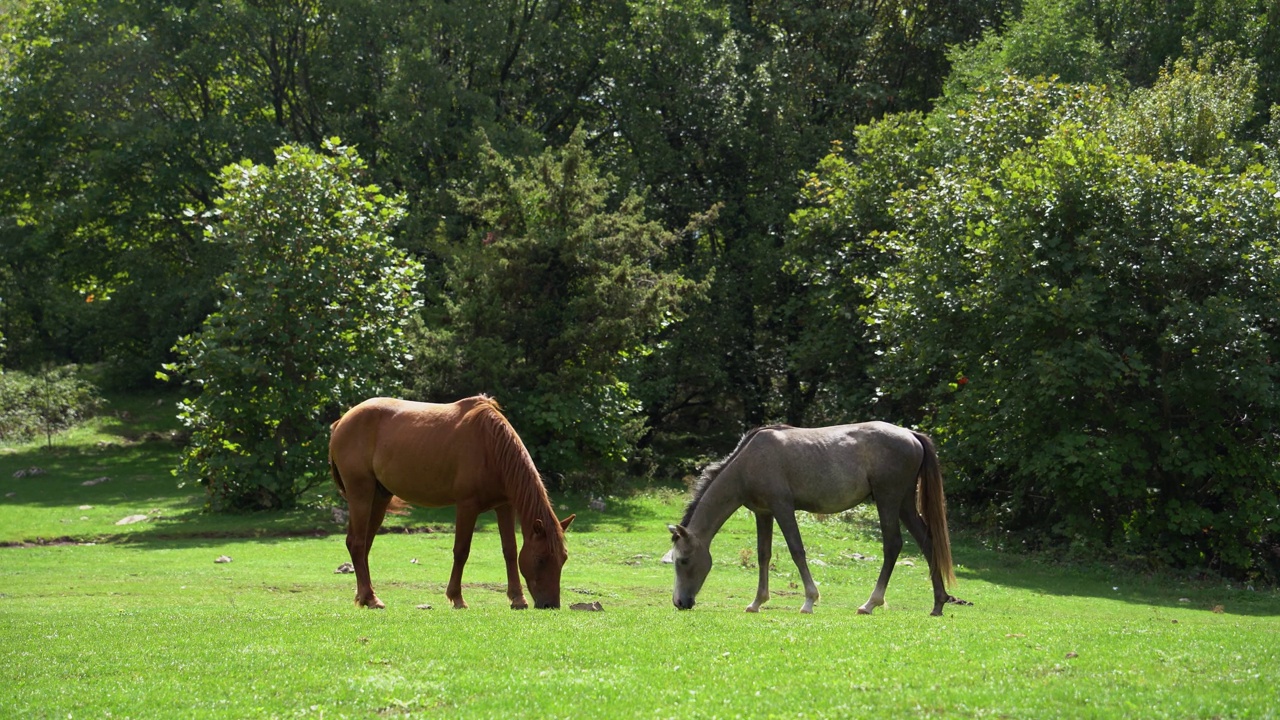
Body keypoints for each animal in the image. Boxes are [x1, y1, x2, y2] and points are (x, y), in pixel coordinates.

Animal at [330, 394, 576, 607]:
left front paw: (517, 598)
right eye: (541, 559)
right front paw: (456, 597)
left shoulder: (504, 506)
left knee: (364, 544)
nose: (551, 605)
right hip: (360, 493)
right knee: (357, 542)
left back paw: (364, 596)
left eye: (563, 558)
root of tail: (342, 421)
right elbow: (461, 551)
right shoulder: (467, 506)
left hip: (379, 497)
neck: (490, 446)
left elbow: (510, 551)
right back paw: (370, 598)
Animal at [670, 422, 967, 614]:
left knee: (893, 545)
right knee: (927, 542)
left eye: (682, 561)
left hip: (888, 500)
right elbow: (763, 555)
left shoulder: (782, 508)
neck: (749, 461)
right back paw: (938, 603)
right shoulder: (763, 513)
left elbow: (796, 550)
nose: (680, 602)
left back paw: (871, 603)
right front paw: (757, 602)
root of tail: (910, 434)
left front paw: (809, 601)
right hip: (904, 503)